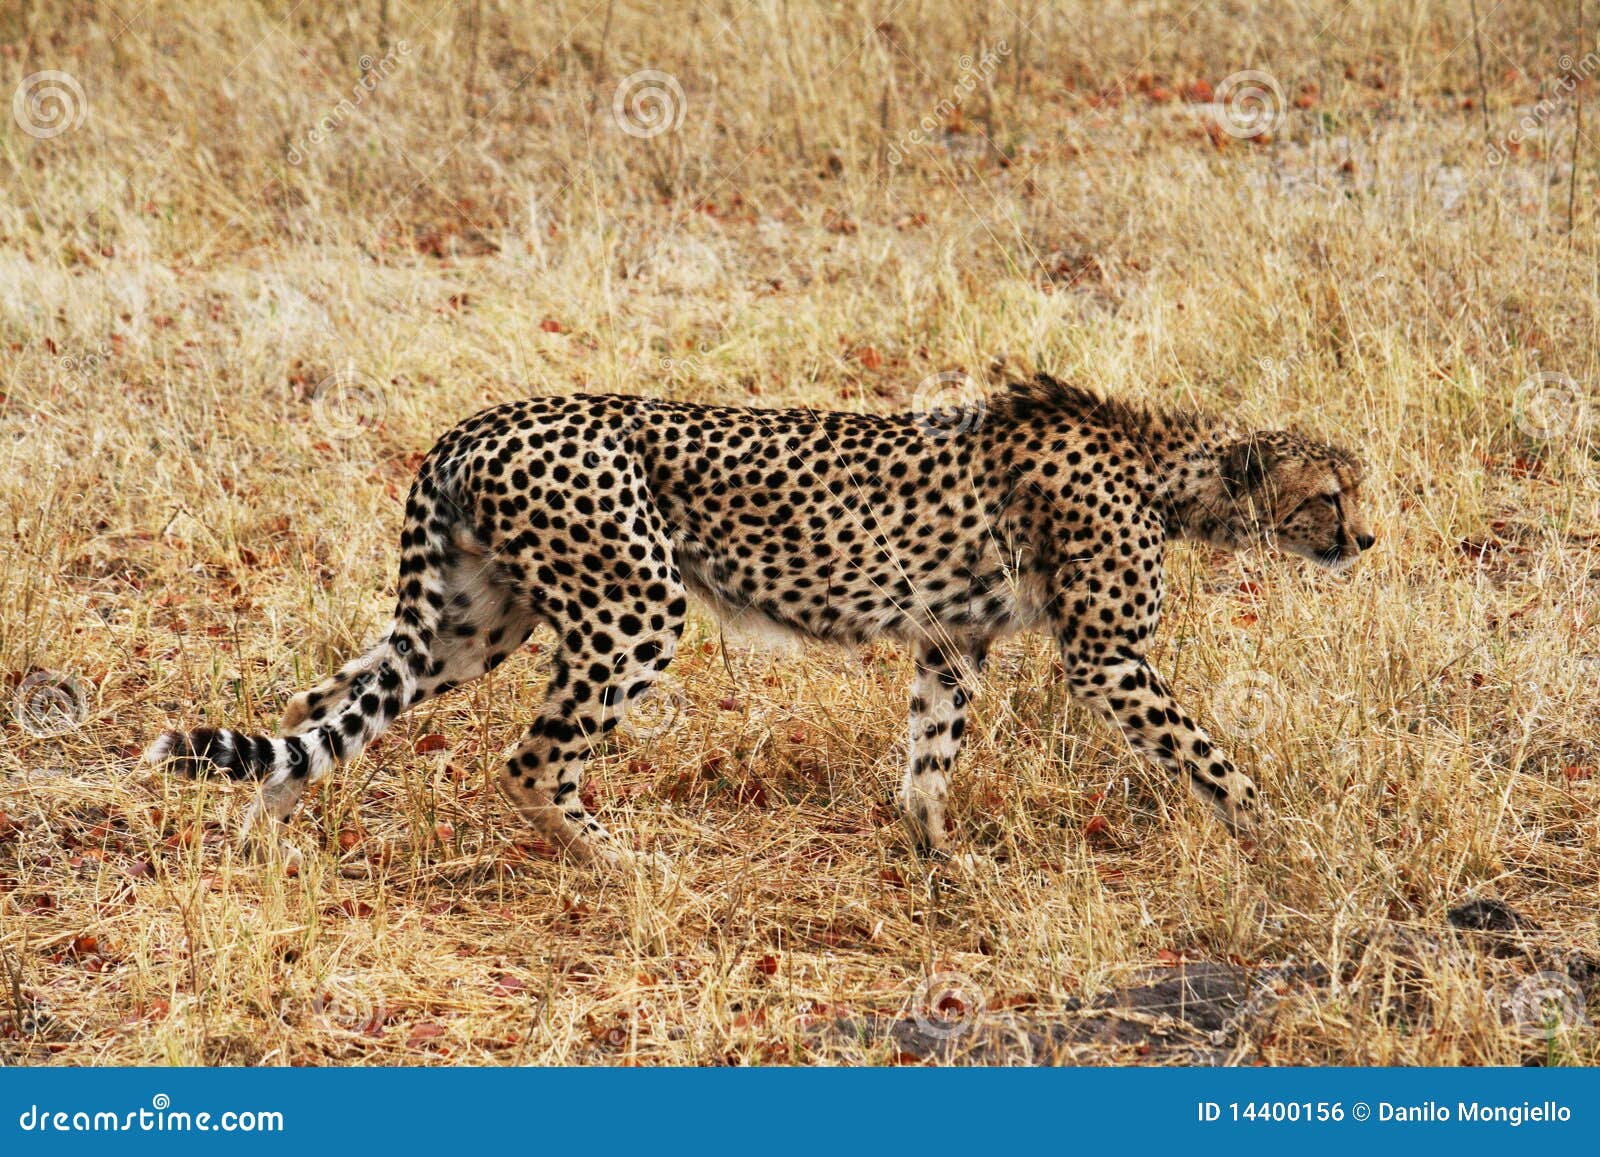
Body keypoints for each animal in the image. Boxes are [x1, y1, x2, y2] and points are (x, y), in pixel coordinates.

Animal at [144, 377, 1369, 870]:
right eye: (1330, 495)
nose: (1364, 541)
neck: (1170, 470)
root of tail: (477, 421)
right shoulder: (1111, 658)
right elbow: (1211, 756)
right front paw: (1282, 839)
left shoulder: (950, 641)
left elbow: (928, 757)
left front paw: (940, 854)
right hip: (634, 605)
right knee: (531, 757)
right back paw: (622, 863)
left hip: (473, 620)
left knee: (328, 698)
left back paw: (261, 825)